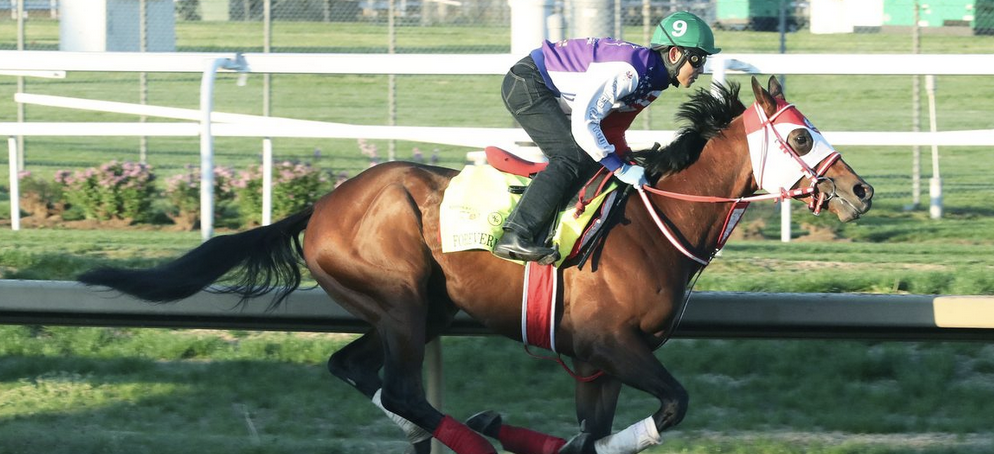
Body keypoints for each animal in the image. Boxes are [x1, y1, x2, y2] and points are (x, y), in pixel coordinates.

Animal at [78, 76, 873, 454]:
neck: (656, 220)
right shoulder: (613, 345)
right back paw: (479, 434)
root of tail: (323, 204)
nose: (860, 191)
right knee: (402, 390)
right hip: (400, 301)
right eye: (801, 136)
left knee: (356, 370)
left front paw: (558, 442)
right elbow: (671, 406)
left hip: (419, 308)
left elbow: (593, 437)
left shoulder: (600, 362)